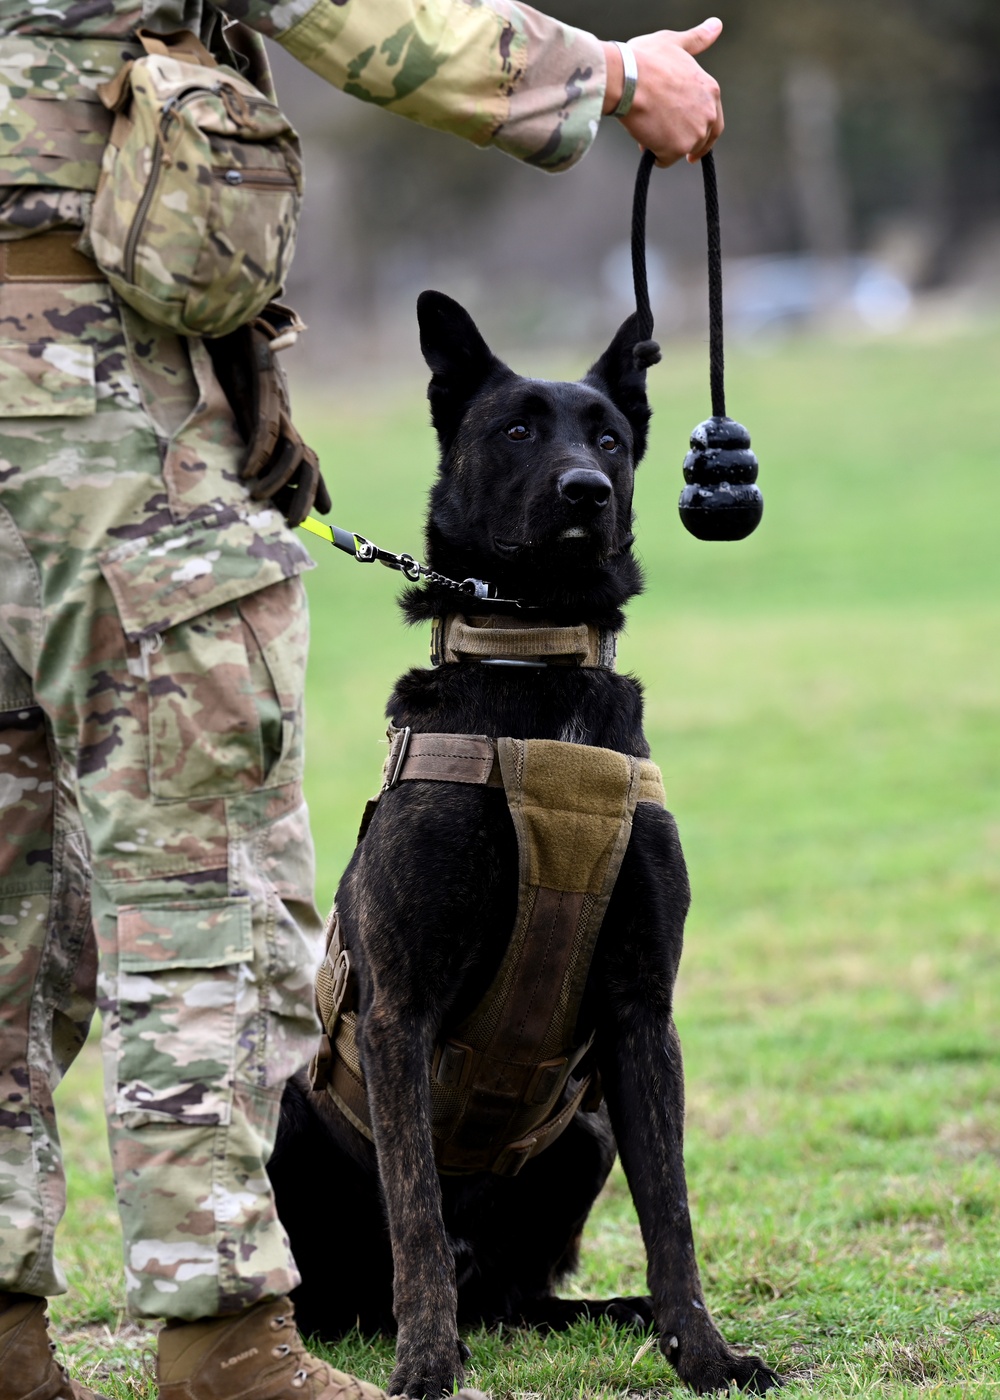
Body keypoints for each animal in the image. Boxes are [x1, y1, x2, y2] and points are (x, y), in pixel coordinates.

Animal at [268, 289, 784, 1394]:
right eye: (514, 430)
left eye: (610, 437)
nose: (586, 488)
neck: (532, 662)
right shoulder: (400, 1014)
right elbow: (416, 1218)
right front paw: (426, 1367)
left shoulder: (641, 1012)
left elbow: (672, 1212)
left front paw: (703, 1352)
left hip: (582, 1131)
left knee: (519, 1294)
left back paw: (611, 1313)